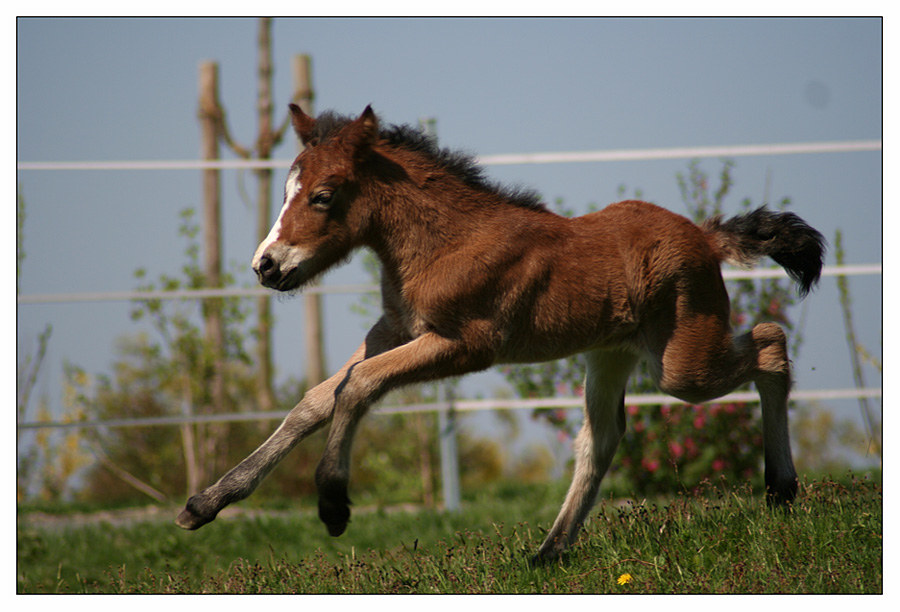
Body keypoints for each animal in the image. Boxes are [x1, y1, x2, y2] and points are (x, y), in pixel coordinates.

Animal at [178, 104, 828, 564]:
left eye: (322, 196)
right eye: (287, 191)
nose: (266, 266)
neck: (444, 242)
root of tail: (705, 236)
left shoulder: (465, 345)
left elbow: (357, 386)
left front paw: (334, 503)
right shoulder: (395, 328)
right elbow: (318, 398)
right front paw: (207, 502)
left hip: (682, 365)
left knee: (770, 342)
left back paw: (781, 489)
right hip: (610, 355)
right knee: (603, 438)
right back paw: (548, 553)